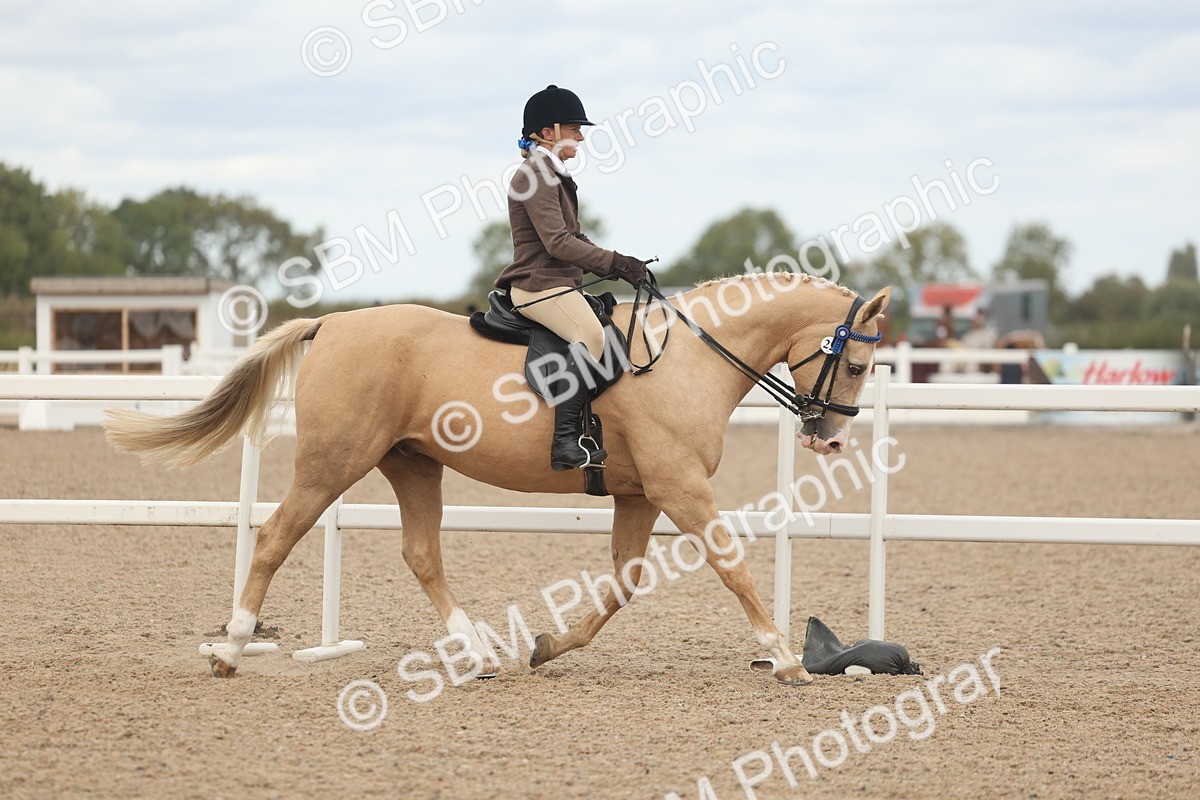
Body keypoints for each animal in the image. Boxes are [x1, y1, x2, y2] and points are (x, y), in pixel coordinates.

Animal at [104, 272, 890, 685]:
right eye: (856, 363)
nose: (830, 438)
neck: (685, 359)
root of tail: (331, 324)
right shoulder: (680, 489)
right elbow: (732, 566)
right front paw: (783, 657)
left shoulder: (640, 494)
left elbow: (623, 583)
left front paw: (546, 647)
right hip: (332, 464)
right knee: (273, 537)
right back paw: (232, 648)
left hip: (412, 464)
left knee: (422, 554)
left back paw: (479, 651)